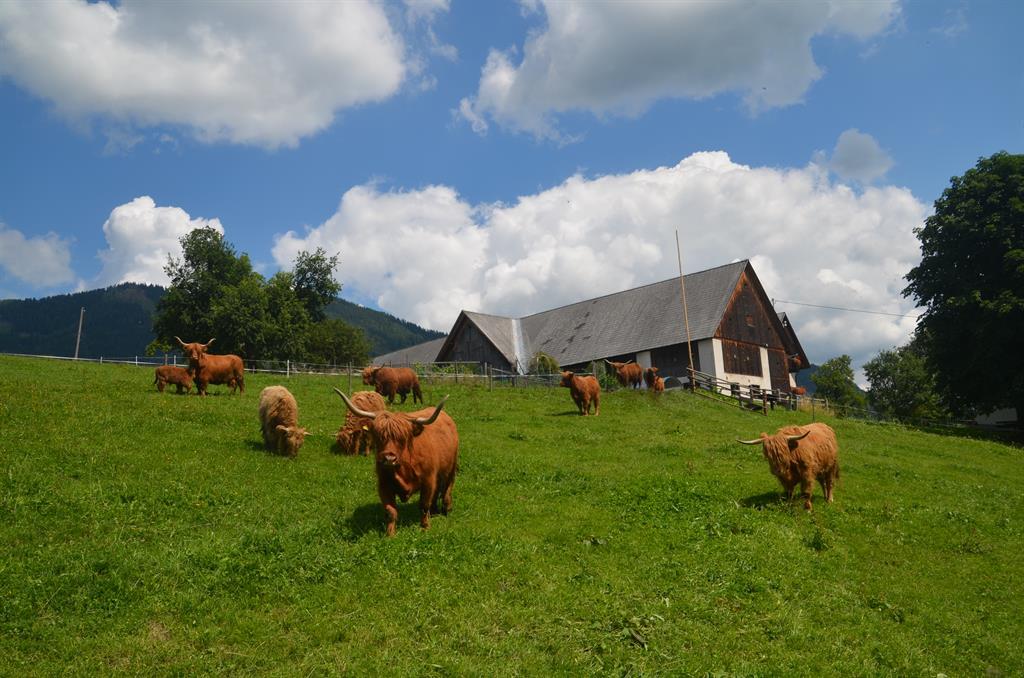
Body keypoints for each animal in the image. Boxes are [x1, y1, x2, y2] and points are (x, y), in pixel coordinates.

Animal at [335, 388, 458, 537]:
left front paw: (425, 528)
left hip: (451, 468)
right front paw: (390, 534)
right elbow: (391, 511)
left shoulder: (428, 480)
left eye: (402, 438)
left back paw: (447, 509)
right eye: (378, 436)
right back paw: (434, 511)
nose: (389, 458)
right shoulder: (383, 484)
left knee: (447, 487)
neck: (403, 466)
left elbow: (423, 505)